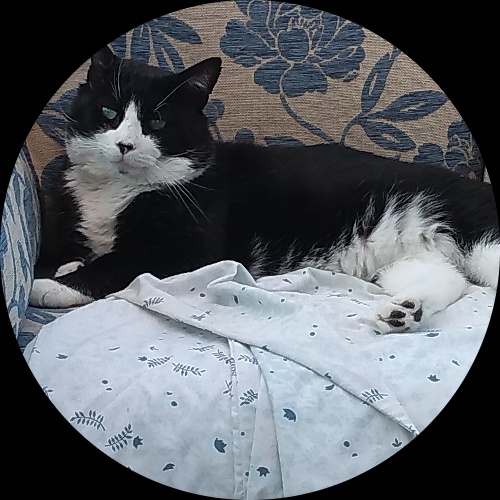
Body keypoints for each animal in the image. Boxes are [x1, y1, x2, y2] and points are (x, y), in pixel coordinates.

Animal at [30, 45, 499, 334]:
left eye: (157, 122)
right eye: (109, 112)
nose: (124, 145)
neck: (119, 191)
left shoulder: (193, 247)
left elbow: (121, 261)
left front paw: (52, 284)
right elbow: (93, 252)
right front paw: (68, 265)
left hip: (478, 237)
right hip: (408, 257)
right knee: (450, 279)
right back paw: (405, 311)